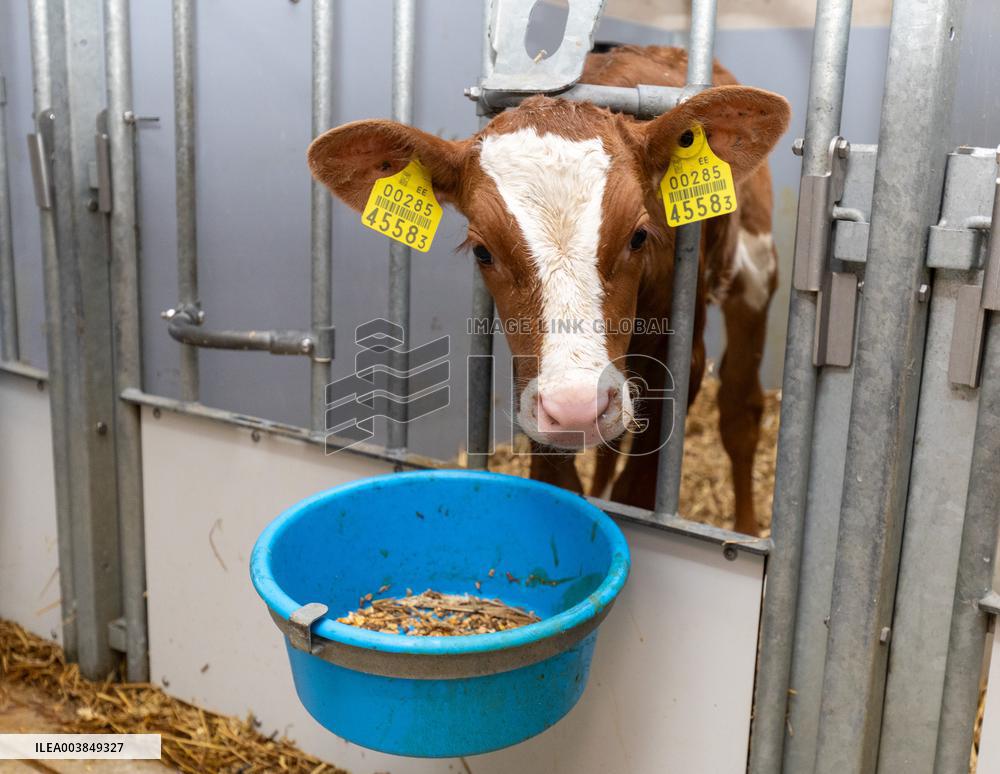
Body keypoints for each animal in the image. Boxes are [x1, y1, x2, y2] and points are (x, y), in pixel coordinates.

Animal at [308, 46, 790, 536]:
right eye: (482, 250)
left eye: (639, 236)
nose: (579, 408)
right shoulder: (533, 381)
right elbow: (559, 480)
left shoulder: (681, 360)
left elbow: (638, 487)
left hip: (755, 268)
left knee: (740, 410)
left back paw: (748, 529)